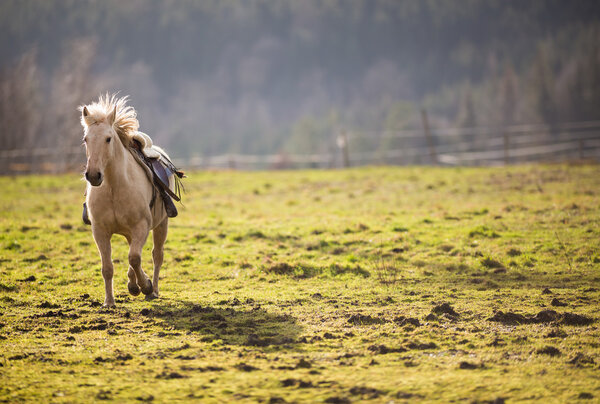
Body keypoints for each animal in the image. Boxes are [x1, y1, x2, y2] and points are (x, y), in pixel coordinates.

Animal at [81, 94, 182, 308]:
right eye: (86, 139)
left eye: (108, 138)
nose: (93, 175)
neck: (114, 188)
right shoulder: (100, 231)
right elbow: (107, 267)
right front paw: (109, 302)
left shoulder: (141, 227)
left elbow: (134, 258)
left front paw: (145, 286)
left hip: (161, 224)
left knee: (156, 255)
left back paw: (153, 290)